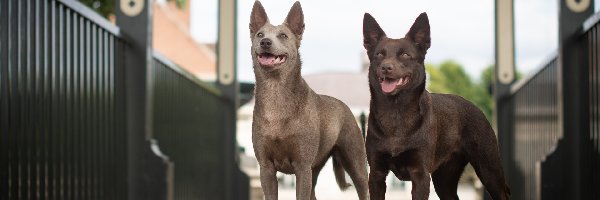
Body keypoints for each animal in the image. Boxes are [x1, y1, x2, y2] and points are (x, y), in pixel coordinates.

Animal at [250, 0, 370, 199]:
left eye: (283, 35)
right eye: (260, 34)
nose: (265, 42)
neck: (276, 92)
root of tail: (344, 105)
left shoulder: (302, 167)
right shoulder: (266, 168)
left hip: (355, 162)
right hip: (315, 169)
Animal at [360, 12, 510, 200]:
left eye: (405, 55)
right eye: (379, 54)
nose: (386, 67)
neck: (396, 112)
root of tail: (476, 107)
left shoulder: (420, 175)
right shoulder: (376, 174)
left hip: (489, 170)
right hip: (444, 180)